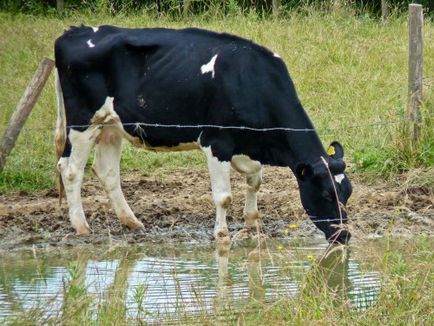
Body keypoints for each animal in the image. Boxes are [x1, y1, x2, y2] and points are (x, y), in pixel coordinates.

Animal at [54, 25, 352, 243]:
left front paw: (252, 225)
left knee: (106, 170)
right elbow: (224, 196)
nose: (345, 235)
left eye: (347, 194)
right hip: (83, 121)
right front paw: (221, 234)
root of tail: (73, 31)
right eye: (326, 195)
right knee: (70, 170)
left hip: (111, 125)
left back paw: (132, 222)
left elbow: (255, 182)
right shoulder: (216, 142)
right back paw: (81, 227)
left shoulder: (248, 147)